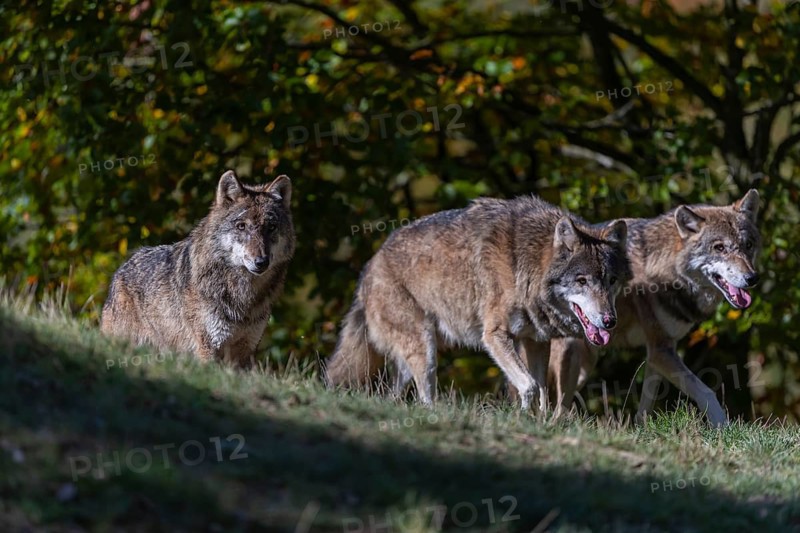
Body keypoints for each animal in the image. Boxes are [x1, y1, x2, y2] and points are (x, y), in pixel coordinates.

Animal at [101, 170, 295, 366]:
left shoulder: (245, 350)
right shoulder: (207, 347)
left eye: (271, 227)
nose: (261, 262)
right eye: (241, 226)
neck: (242, 295)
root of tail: (122, 268)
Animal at [324, 195, 631, 409]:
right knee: (425, 395)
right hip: (425, 350)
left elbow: (544, 392)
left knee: (392, 395)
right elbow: (529, 386)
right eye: (582, 281)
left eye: (611, 280)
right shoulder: (494, 335)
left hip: (409, 360)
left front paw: (542, 424)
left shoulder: (536, 341)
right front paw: (522, 419)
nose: (610, 321)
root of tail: (369, 267)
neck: (526, 266)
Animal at [548, 190, 761, 426]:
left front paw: (640, 429)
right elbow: (705, 391)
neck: (667, 271)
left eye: (749, 245)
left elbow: (646, 404)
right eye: (720, 248)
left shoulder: (658, 352)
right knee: (554, 408)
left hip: (584, 365)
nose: (752, 278)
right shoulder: (661, 350)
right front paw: (722, 426)